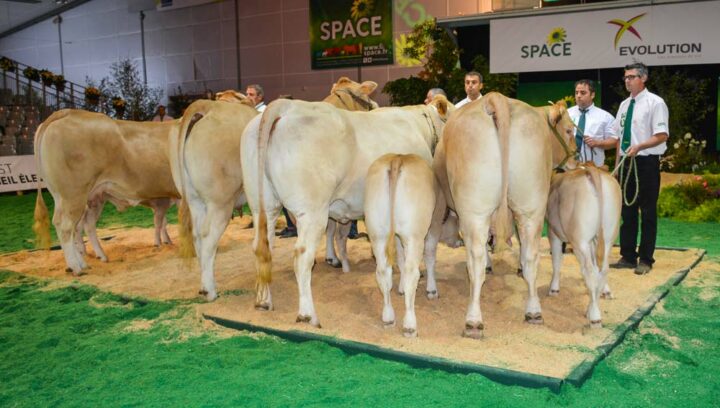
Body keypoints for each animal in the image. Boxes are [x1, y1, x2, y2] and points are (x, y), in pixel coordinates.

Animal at [33, 108, 180, 276]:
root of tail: (68, 112)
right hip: (73, 195)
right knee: (66, 226)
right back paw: (77, 267)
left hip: (83, 198)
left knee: (81, 225)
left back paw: (91, 259)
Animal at [366, 153, 434, 338]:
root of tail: (397, 159)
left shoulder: (396, 236)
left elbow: (400, 258)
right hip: (414, 236)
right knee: (412, 273)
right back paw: (410, 325)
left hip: (377, 233)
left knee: (383, 271)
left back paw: (388, 317)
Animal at [428, 94, 580, 340]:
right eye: (568, 130)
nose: (577, 160)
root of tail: (496, 99)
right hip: (531, 207)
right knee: (531, 256)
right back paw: (534, 311)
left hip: (475, 211)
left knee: (476, 261)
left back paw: (473, 321)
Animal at [544, 164, 620, 326]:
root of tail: (592, 170)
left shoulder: (553, 233)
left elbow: (557, 261)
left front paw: (554, 289)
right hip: (608, 236)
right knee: (603, 269)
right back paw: (591, 309)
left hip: (580, 241)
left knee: (589, 271)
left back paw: (595, 316)